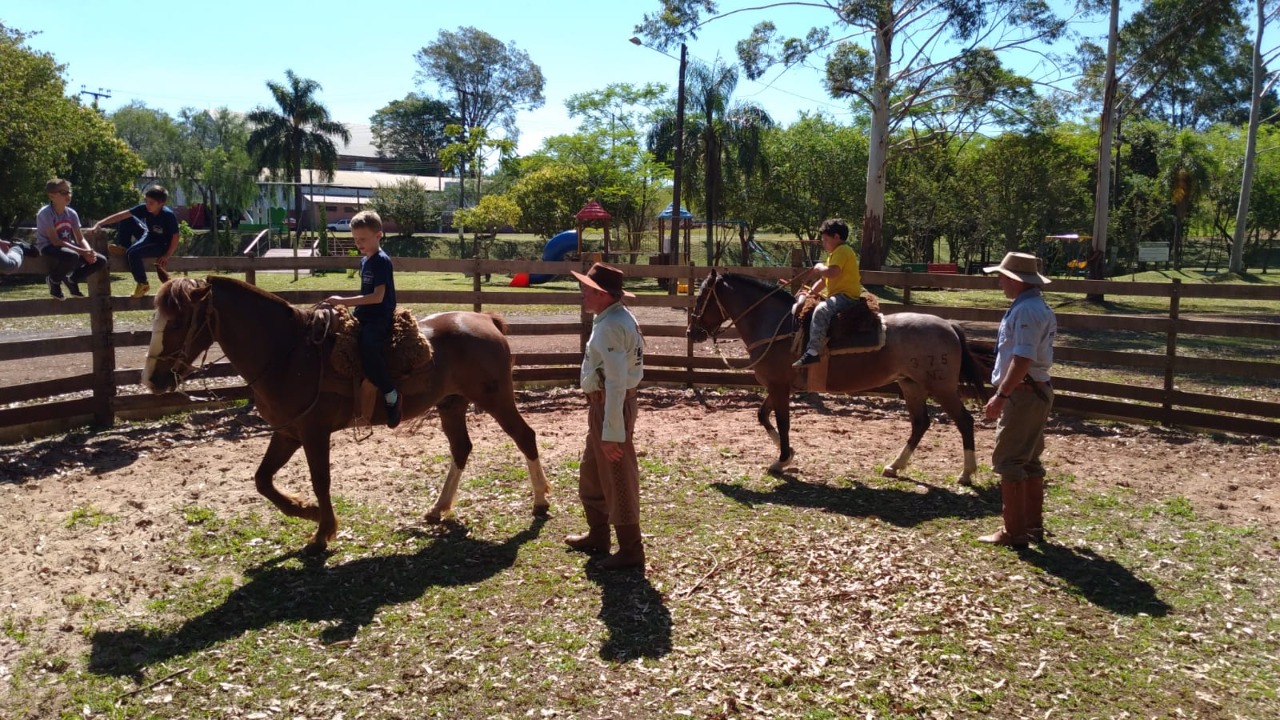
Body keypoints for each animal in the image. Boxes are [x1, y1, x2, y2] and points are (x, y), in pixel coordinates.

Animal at [144, 278, 550, 550]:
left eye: (177, 322)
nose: (153, 379)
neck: (287, 354)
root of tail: (488, 321)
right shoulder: (287, 432)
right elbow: (262, 480)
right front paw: (306, 510)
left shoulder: (314, 433)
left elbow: (320, 480)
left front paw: (322, 530)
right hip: (451, 404)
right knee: (462, 449)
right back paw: (438, 509)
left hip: (497, 400)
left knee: (525, 437)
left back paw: (541, 501)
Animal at [686, 269, 983, 481]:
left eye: (701, 299)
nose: (692, 332)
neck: (776, 326)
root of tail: (950, 325)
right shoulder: (780, 387)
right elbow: (763, 416)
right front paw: (789, 454)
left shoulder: (779, 387)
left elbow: (783, 422)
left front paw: (781, 460)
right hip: (911, 385)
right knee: (920, 423)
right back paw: (894, 466)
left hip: (941, 387)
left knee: (964, 421)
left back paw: (966, 474)